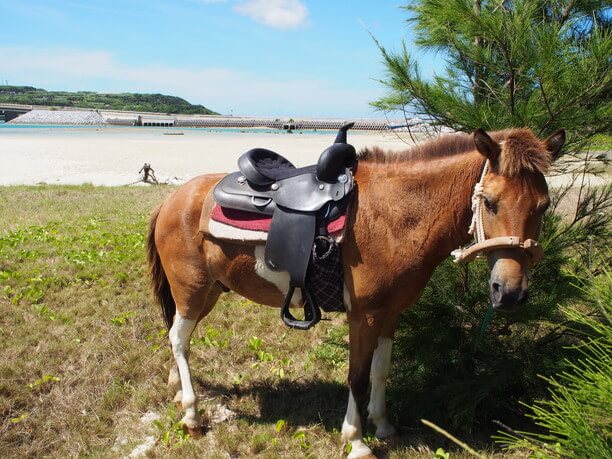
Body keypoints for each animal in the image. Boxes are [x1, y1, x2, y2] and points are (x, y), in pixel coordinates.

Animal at [147, 126, 564, 456]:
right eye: (490, 203)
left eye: (544, 207)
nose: (509, 292)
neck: (395, 215)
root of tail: (172, 199)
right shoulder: (364, 316)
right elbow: (358, 377)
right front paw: (357, 440)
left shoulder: (390, 314)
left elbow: (381, 371)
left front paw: (383, 425)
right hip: (192, 290)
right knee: (179, 339)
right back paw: (190, 413)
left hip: (210, 292)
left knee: (178, 337)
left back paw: (176, 389)